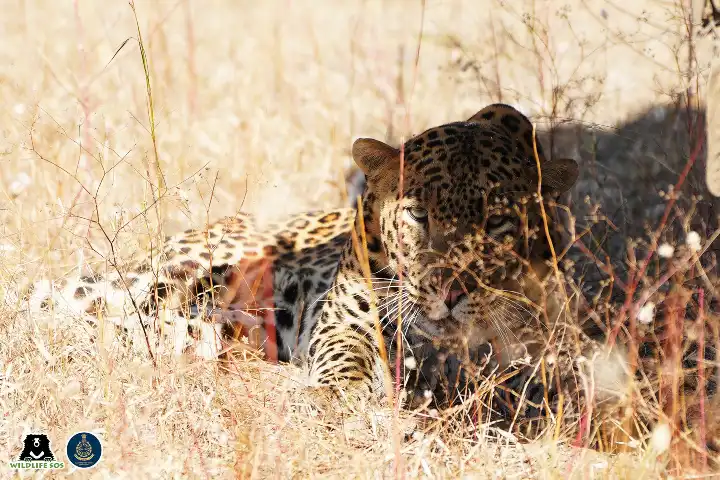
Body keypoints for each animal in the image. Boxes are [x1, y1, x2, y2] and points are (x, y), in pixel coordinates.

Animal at [31, 103, 616, 418]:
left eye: (496, 224)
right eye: (418, 215)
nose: (450, 293)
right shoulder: (345, 320)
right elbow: (345, 361)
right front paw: (342, 394)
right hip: (188, 285)